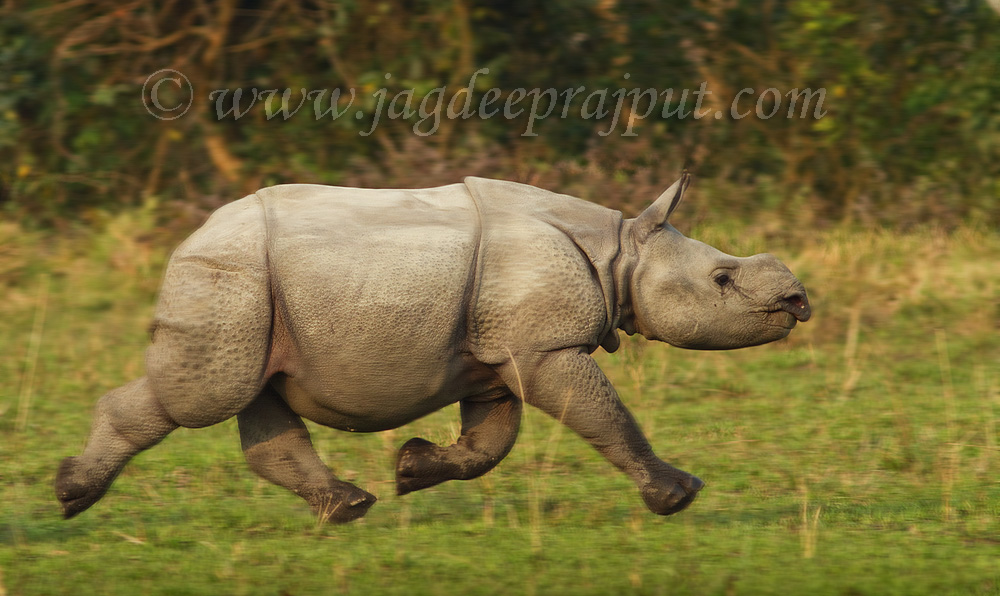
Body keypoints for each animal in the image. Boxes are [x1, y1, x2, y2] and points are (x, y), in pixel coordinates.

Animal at [56, 173, 810, 523]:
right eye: (722, 280)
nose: (800, 301)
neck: (618, 251)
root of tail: (190, 237)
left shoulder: (503, 354)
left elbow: (489, 443)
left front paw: (414, 470)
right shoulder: (543, 346)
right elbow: (603, 414)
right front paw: (677, 496)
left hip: (257, 292)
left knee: (257, 395)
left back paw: (350, 507)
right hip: (230, 277)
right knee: (205, 396)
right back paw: (71, 497)